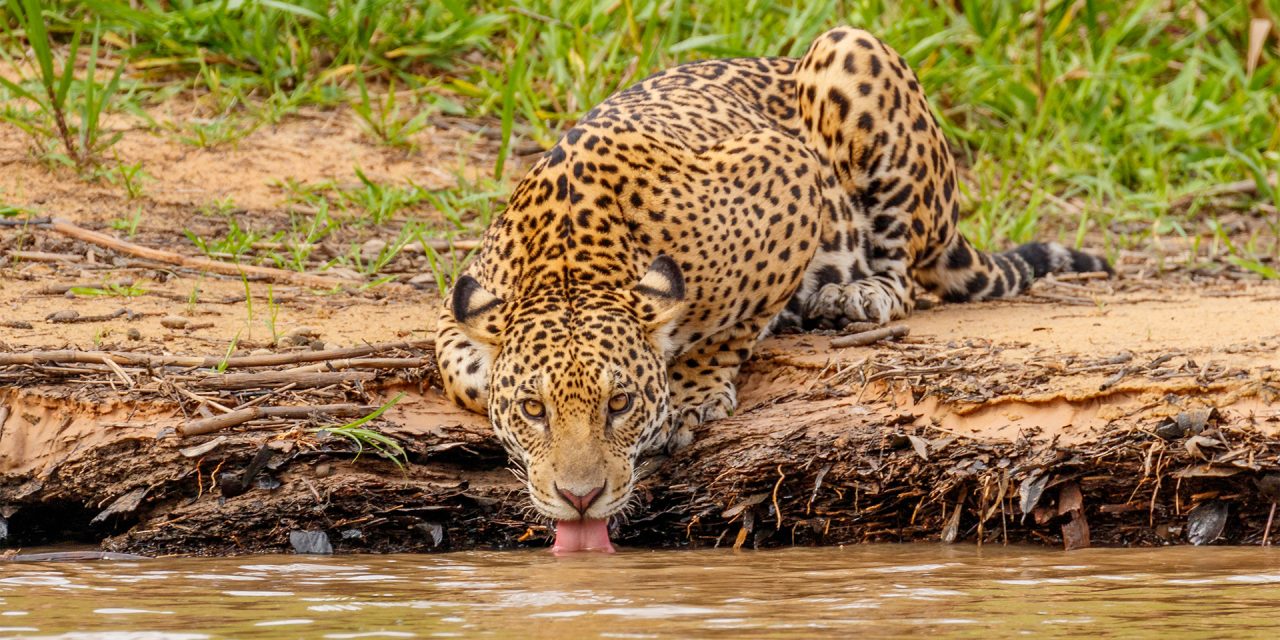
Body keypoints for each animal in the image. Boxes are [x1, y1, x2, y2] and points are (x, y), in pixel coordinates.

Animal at [432, 27, 1111, 548]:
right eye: (534, 410)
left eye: (619, 403)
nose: (580, 498)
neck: (572, 263)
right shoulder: (464, 301)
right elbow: (463, 373)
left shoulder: (786, 172)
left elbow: (733, 323)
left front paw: (692, 397)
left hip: (852, 52)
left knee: (901, 269)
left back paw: (854, 295)